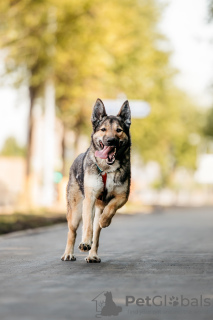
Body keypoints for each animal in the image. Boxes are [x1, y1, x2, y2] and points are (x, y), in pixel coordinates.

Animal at [61, 98, 131, 262]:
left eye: (119, 130)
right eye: (103, 129)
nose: (111, 141)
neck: (107, 169)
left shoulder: (122, 197)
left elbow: (110, 208)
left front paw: (105, 220)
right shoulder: (90, 198)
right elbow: (86, 225)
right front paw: (85, 242)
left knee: (97, 234)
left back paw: (92, 254)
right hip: (76, 211)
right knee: (72, 231)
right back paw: (69, 253)